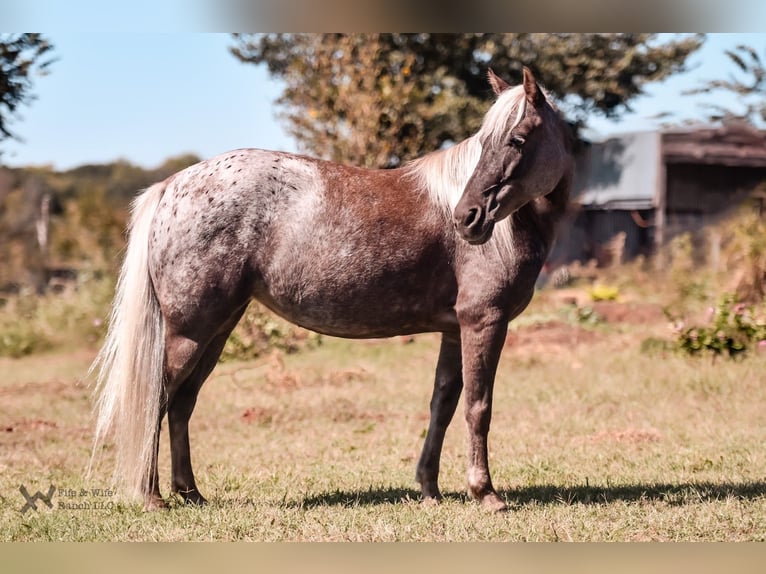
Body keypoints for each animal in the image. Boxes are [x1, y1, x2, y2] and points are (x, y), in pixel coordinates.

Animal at [90, 67, 576, 512]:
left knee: (183, 402)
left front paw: (429, 488)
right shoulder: (483, 322)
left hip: (217, 329)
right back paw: (153, 496)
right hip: (190, 332)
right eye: (484, 141)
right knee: (158, 398)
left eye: (517, 140)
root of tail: (171, 186)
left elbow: (443, 404)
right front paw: (486, 493)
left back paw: (191, 494)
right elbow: (479, 406)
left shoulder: (454, 330)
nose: (467, 218)